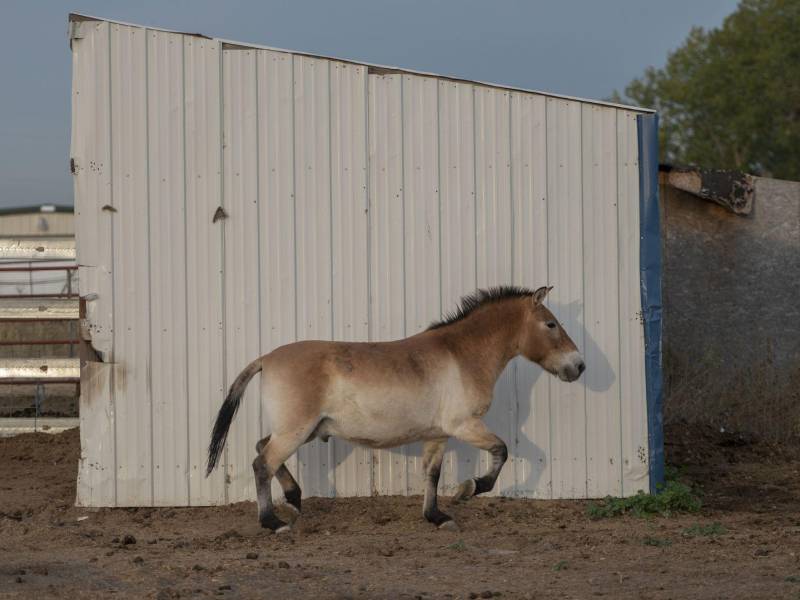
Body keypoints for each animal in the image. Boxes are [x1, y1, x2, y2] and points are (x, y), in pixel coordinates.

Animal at [206, 284, 580, 532]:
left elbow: (432, 474)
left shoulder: (438, 435)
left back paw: (295, 499)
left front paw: (437, 517)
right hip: (295, 430)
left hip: (305, 429)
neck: (461, 355)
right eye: (551, 324)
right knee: (262, 463)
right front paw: (469, 489)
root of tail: (266, 359)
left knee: (262, 449)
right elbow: (502, 450)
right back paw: (273, 522)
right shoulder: (464, 426)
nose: (579, 366)